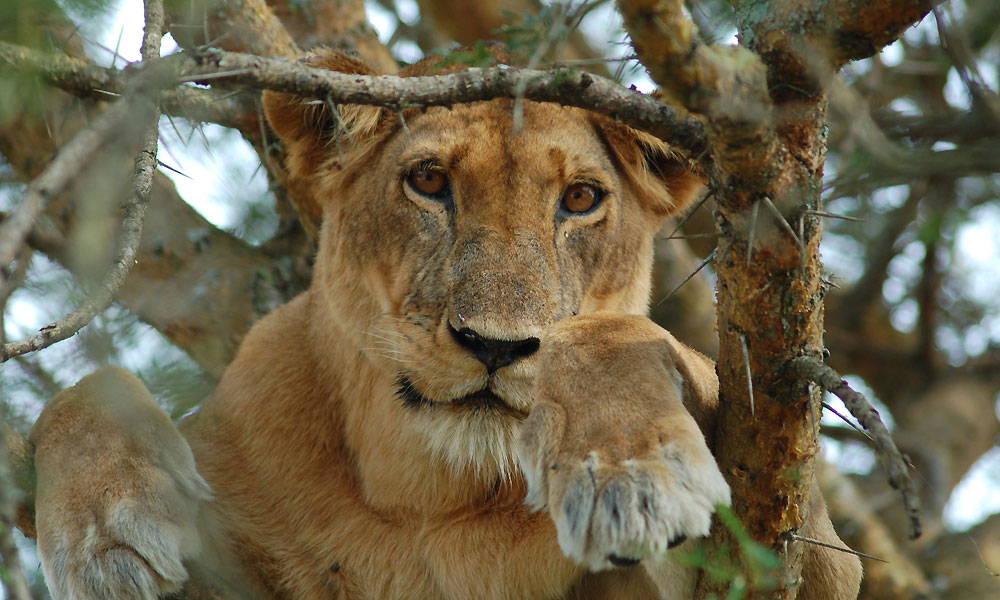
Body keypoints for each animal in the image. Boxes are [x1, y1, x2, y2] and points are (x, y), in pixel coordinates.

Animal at [27, 49, 864, 596]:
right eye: (429, 182)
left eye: (582, 199)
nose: (495, 345)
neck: (433, 499)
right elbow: (80, 393)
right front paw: (107, 540)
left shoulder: (820, 564)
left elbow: (630, 341)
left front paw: (628, 474)